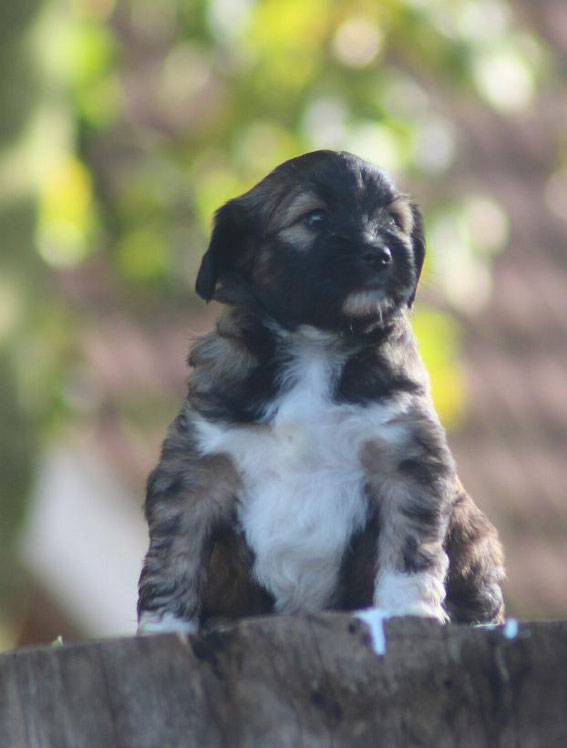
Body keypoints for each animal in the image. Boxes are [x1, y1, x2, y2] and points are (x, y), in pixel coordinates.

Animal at [138, 149, 506, 636]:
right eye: (314, 218)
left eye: (393, 221)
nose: (380, 254)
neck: (316, 344)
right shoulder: (195, 469)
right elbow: (175, 554)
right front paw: (164, 629)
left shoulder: (405, 456)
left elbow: (409, 545)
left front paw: (409, 611)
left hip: (477, 537)